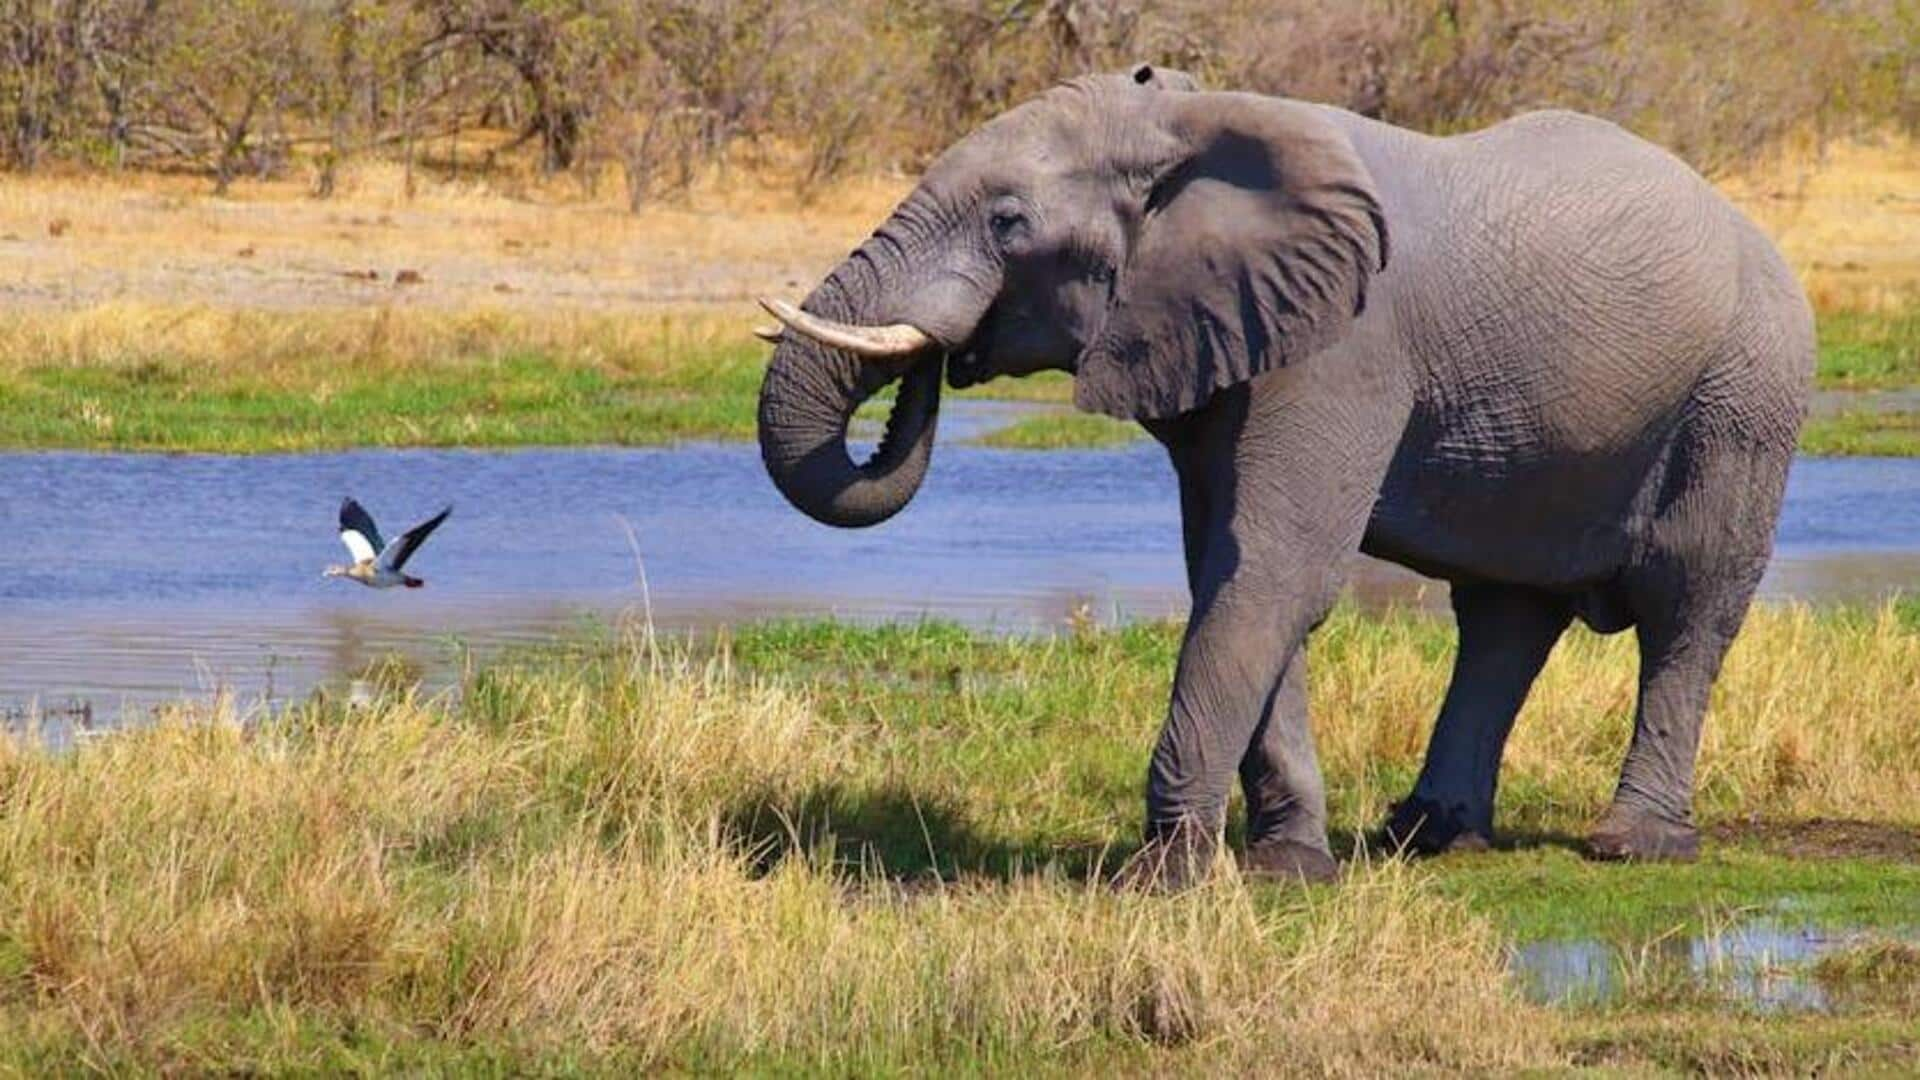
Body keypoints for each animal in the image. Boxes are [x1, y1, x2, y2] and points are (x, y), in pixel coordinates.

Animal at [752, 62, 1812, 880]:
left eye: (1009, 222)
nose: (939, 360)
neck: (1193, 120)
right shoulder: (1229, 342)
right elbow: (1233, 569)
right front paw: (1288, 866)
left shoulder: (1343, 350)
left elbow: (1272, 570)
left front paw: (1166, 880)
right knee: (1505, 616)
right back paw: (1426, 837)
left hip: (1744, 399)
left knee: (1687, 605)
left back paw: (1635, 846)